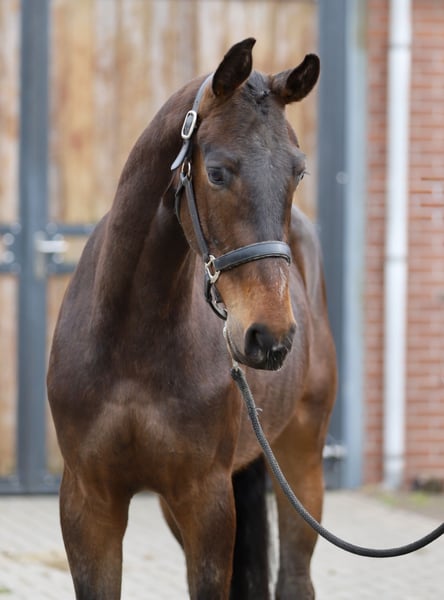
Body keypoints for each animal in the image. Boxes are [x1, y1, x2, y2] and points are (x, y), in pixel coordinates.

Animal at [47, 38, 336, 600]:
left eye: (299, 172)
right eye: (218, 171)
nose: (270, 337)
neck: (131, 342)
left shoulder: (207, 500)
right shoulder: (89, 503)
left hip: (301, 462)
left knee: (295, 576)